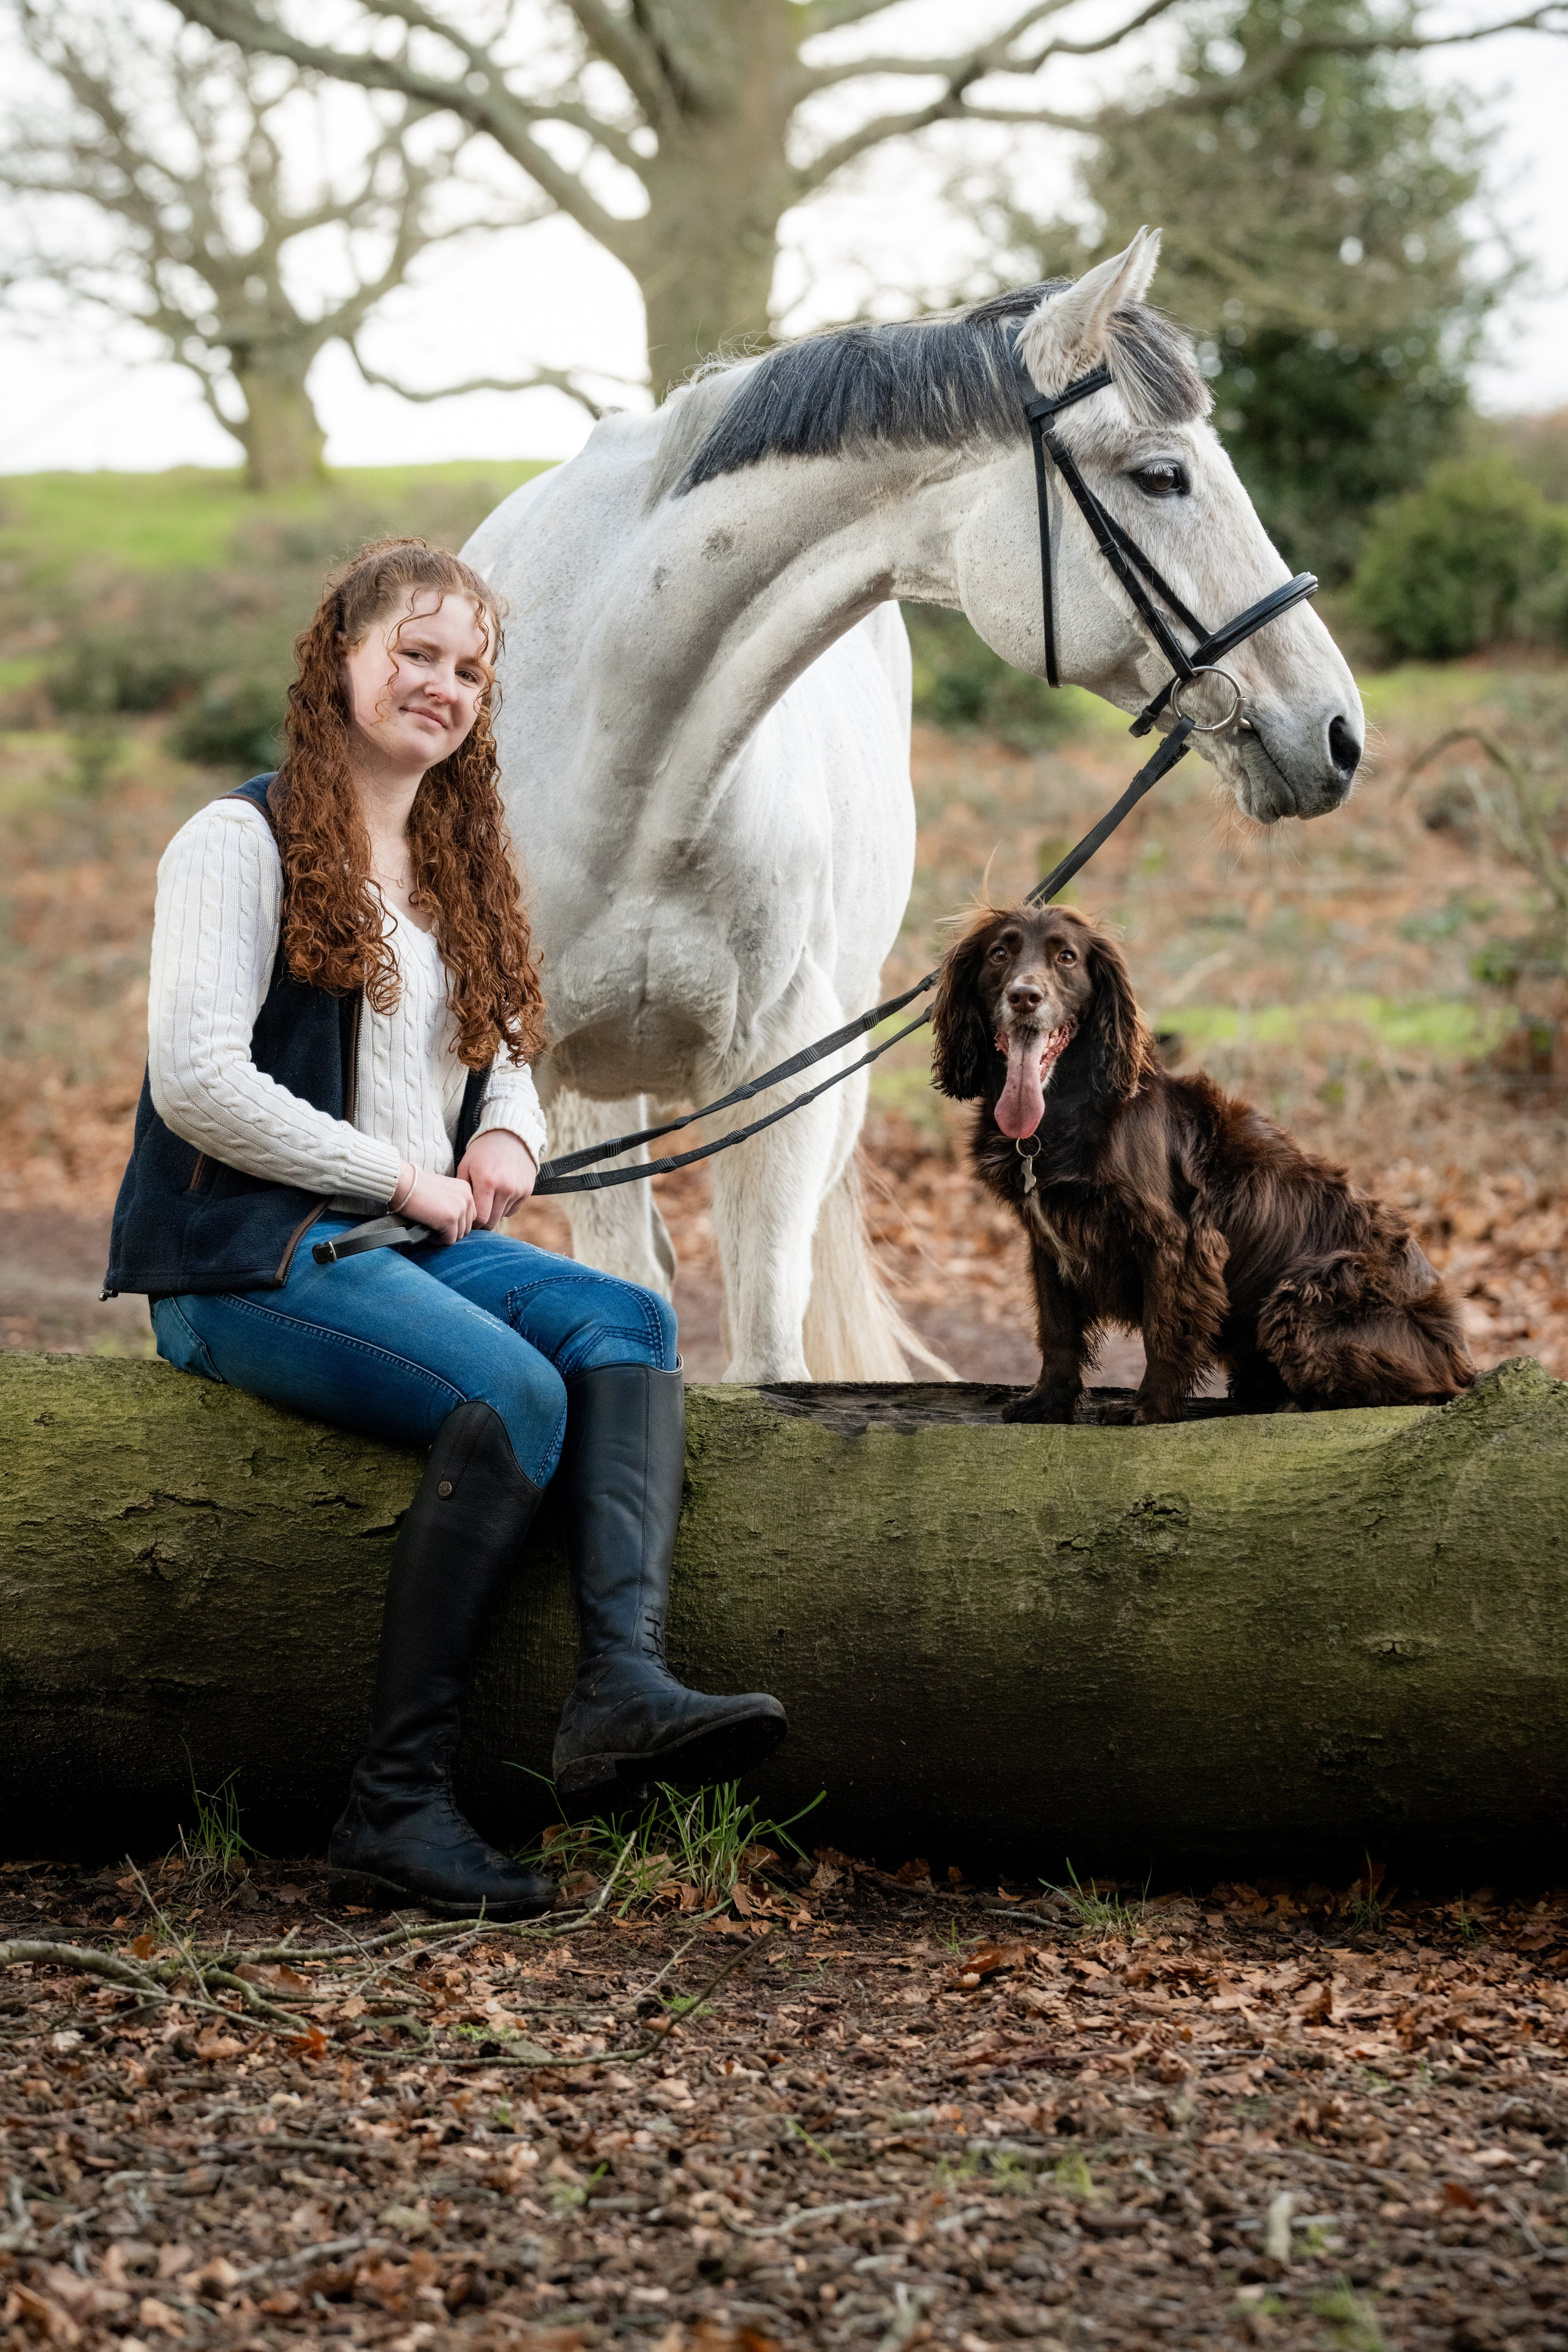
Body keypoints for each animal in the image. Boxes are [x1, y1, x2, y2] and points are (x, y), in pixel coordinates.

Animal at [463, 229, 1364, 1385]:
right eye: (1163, 476)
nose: (1337, 732)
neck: (625, 761)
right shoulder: (539, 1077)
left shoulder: (779, 1082)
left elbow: (770, 1348)